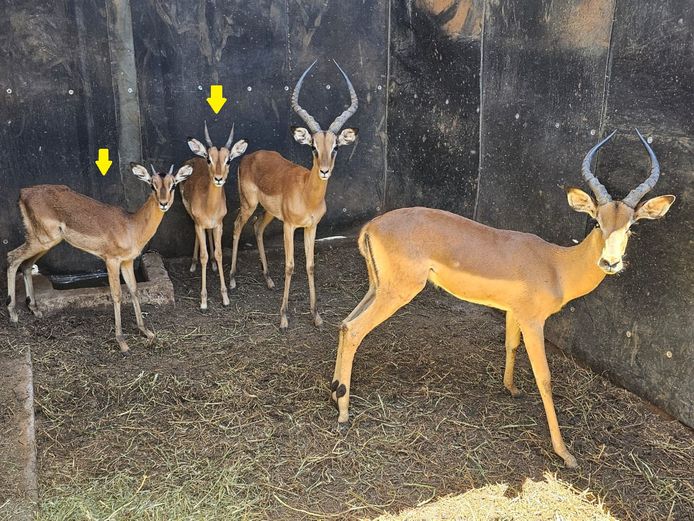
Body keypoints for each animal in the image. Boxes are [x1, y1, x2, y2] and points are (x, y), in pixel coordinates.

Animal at [6, 162, 193, 353]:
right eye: (152, 185)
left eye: (173, 184)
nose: (163, 203)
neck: (131, 226)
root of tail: (24, 192)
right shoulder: (111, 261)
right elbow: (117, 294)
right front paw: (122, 341)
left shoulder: (127, 261)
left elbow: (134, 290)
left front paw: (146, 332)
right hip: (41, 240)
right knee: (12, 257)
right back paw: (13, 314)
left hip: (46, 242)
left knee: (26, 265)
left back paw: (34, 309)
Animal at [183, 122, 248, 309]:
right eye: (209, 159)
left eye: (228, 160)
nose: (218, 178)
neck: (209, 206)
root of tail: (194, 158)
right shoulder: (199, 224)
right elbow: (203, 255)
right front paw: (204, 301)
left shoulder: (219, 224)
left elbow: (219, 254)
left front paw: (225, 297)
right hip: (191, 215)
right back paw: (193, 264)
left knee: (209, 234)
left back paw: (212, 264)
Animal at [230, 60, 359, 329]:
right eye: (313, 147)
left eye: (336, 147)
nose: (324, 171)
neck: (307, 195)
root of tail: (250, 156)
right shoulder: (289, 227)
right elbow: (290, 266)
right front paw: (283, 317)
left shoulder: (311, 227)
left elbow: (309, 265)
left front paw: (316, 315)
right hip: (249, 204)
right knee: (237, 226)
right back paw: (233, 279)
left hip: (268, 212)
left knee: (257, 227)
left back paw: (268, 279)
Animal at [330, 130, 675, 468]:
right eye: (597, 221)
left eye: (631, 226)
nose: (610, 262)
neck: (556, 265)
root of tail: (371, 226)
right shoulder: (534, 321)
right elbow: (545, 377)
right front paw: (565, 453)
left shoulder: (513, 312)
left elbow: (510, 345)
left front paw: (511, 388)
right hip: (398, 292)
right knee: (356, 329)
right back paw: (344, 412)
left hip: (377, 288)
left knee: (345, 324)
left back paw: (334, 392)